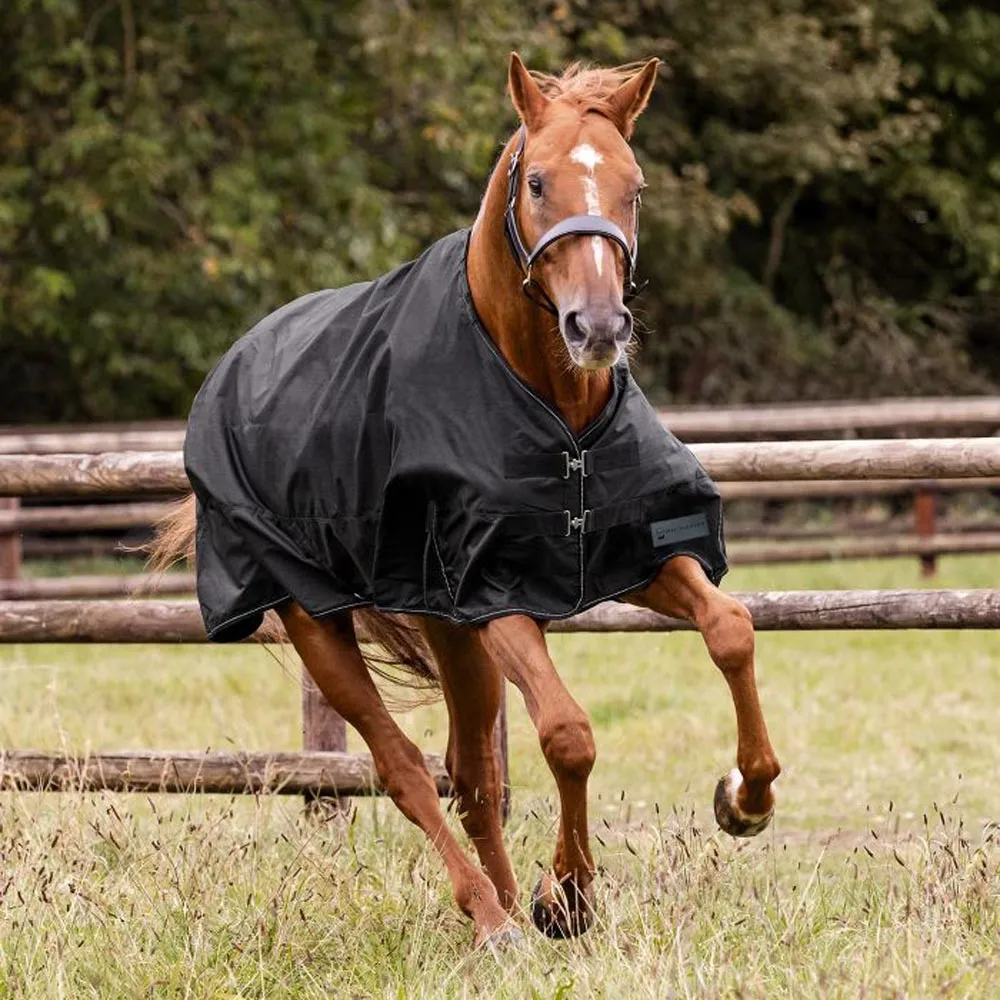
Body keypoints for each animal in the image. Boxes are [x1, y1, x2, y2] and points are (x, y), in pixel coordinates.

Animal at [150, 54, 781, 949]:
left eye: (635, 187)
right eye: (539, 182)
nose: (597, 327)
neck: (556, 410)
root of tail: (231, 368)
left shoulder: (637, 555)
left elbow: (730, 629)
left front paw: (744, 800)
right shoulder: (496, 595)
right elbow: (568, 734)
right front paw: (572, 894)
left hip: (449, 634)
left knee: (472, 772)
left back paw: (513, 908)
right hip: (322, 624)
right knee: (406, 770)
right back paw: (491, 915)